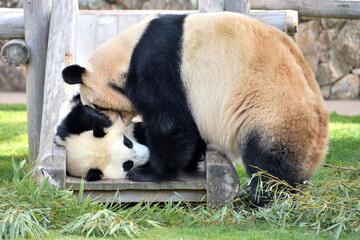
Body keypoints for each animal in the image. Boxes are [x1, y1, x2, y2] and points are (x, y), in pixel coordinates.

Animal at [62, 11, 330, 206]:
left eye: (97, 105)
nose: (105, 126)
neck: (127, 53)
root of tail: (319, 145)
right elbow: (188, 128)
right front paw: (189, 163)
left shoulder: (160, 66)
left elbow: (170, 125)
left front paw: (149, 174)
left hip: (271, 109)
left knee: (266, 164)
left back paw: (261, 200)